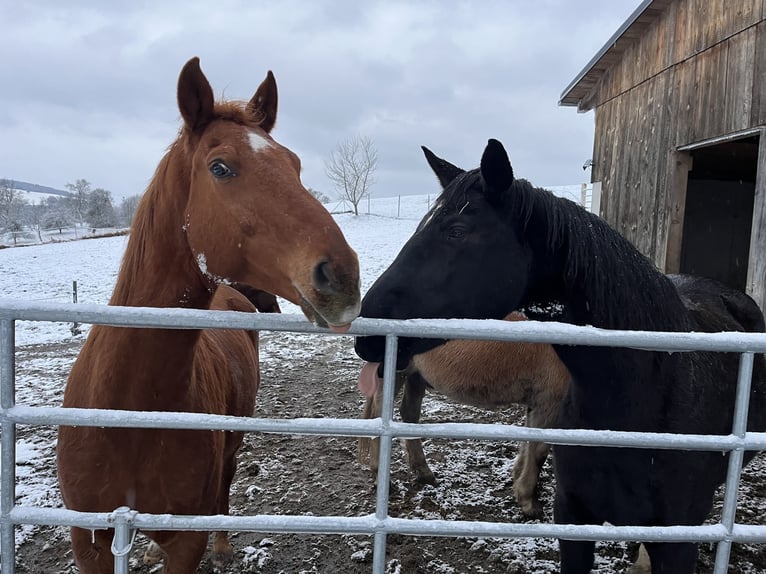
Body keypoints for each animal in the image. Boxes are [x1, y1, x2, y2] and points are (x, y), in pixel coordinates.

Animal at [57, 57, 364, 574]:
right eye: (221, 168)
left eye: (295, 165)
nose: (341, 277)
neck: (127, 416)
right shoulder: (88, 539)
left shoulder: (185, 542)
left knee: (226, 481)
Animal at [356, 140, 766, 574]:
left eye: (457, 231)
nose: (365, 332)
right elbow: (535, 449)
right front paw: (525, 496)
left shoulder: (673, 535)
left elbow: (532, 445)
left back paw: (421, 472)